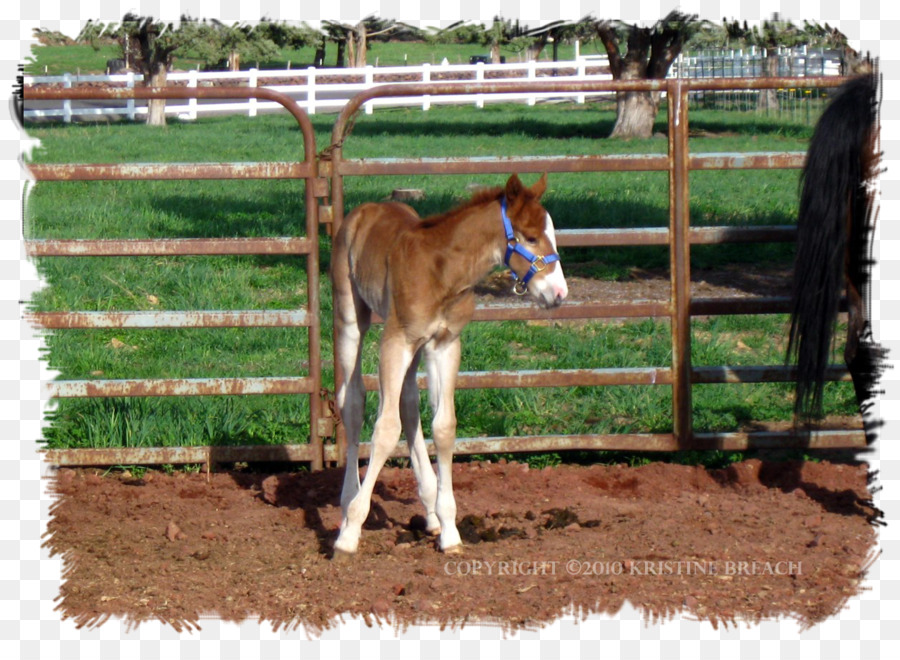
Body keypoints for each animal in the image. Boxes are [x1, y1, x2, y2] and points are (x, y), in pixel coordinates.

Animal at [330, 173, 568, 556]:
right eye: (530, 236)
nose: (559, 294)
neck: (441, 270)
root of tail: (365, 209)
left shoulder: (445, 344)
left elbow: (443, 428)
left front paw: (450, 530)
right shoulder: (395, 340)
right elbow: (385, 429)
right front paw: (350, 532)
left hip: (417, 349)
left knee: (408, 405)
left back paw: (429, 511)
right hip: (352, 318)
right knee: (352, 402)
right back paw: (346, 504)